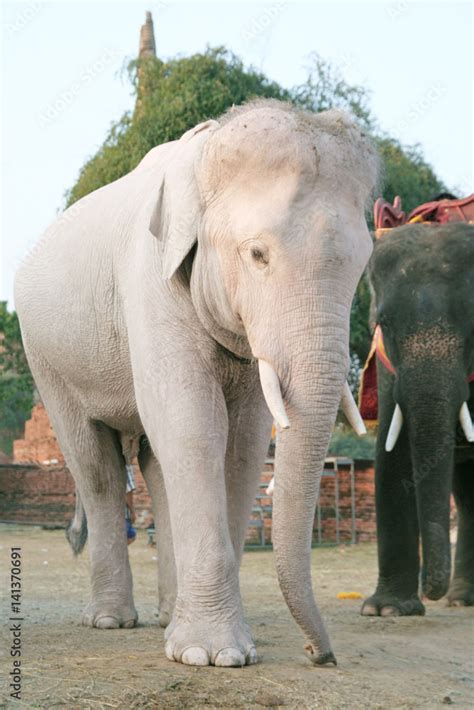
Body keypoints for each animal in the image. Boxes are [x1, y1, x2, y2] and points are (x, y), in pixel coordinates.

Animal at [13, 98, 378, 668]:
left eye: (364, 265)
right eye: (257, 254)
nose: (321, 655)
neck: (204, 154)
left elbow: (244, 443)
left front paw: (214, 646)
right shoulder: (150, 281)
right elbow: (192, 424)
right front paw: (214, 655)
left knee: (154, 465)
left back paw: (166, 617)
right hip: (46, 357)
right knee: (95, 465)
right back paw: (111, 621)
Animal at [362, 222, 472, 616]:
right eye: (383, 323)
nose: (429, 591)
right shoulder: (386, 362)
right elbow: (391, 454)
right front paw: (386, 610)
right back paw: (461, 598)